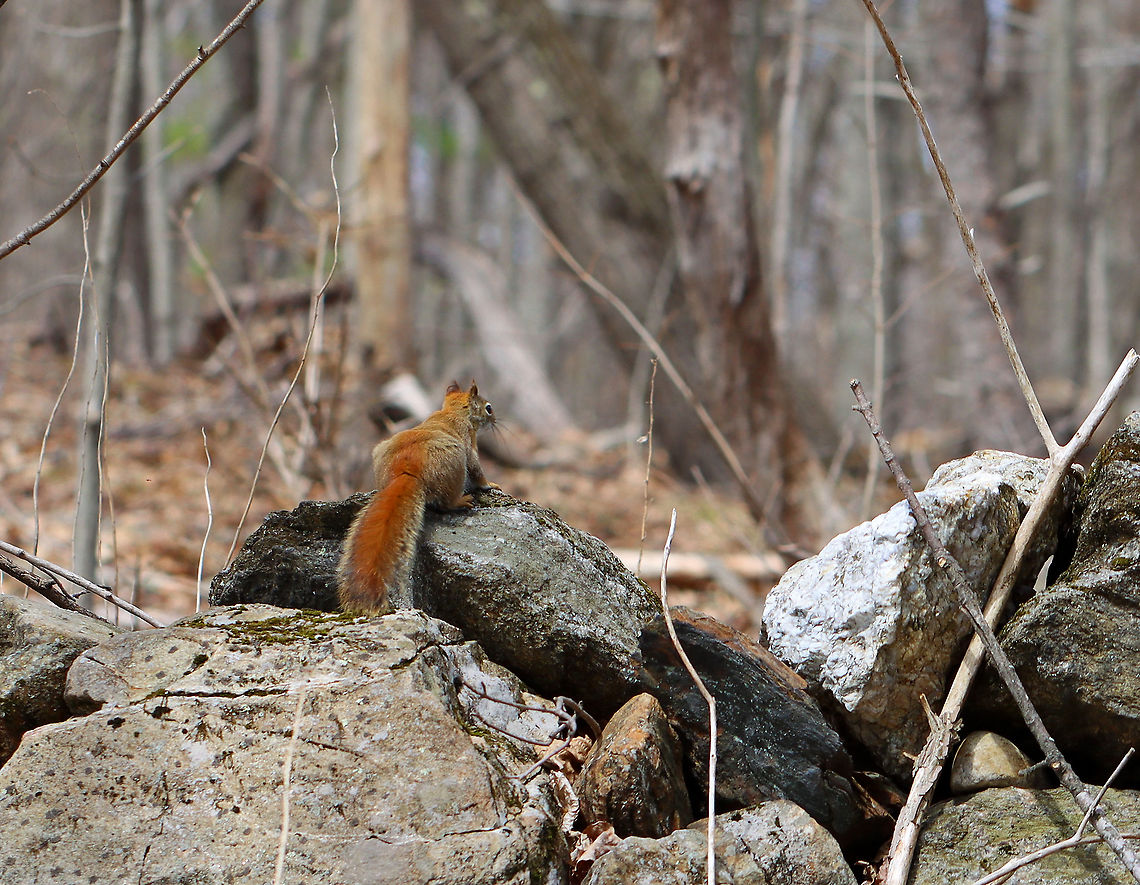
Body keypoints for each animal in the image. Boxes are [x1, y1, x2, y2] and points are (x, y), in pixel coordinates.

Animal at [337, 380, 500, 615]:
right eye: (488, 408)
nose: (495, 420)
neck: (452, 411)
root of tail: (406, 471)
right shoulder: (469, 443)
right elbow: (477, 470)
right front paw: (490, 484)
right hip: (455, 461)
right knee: (446, 502)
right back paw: (462, 501)